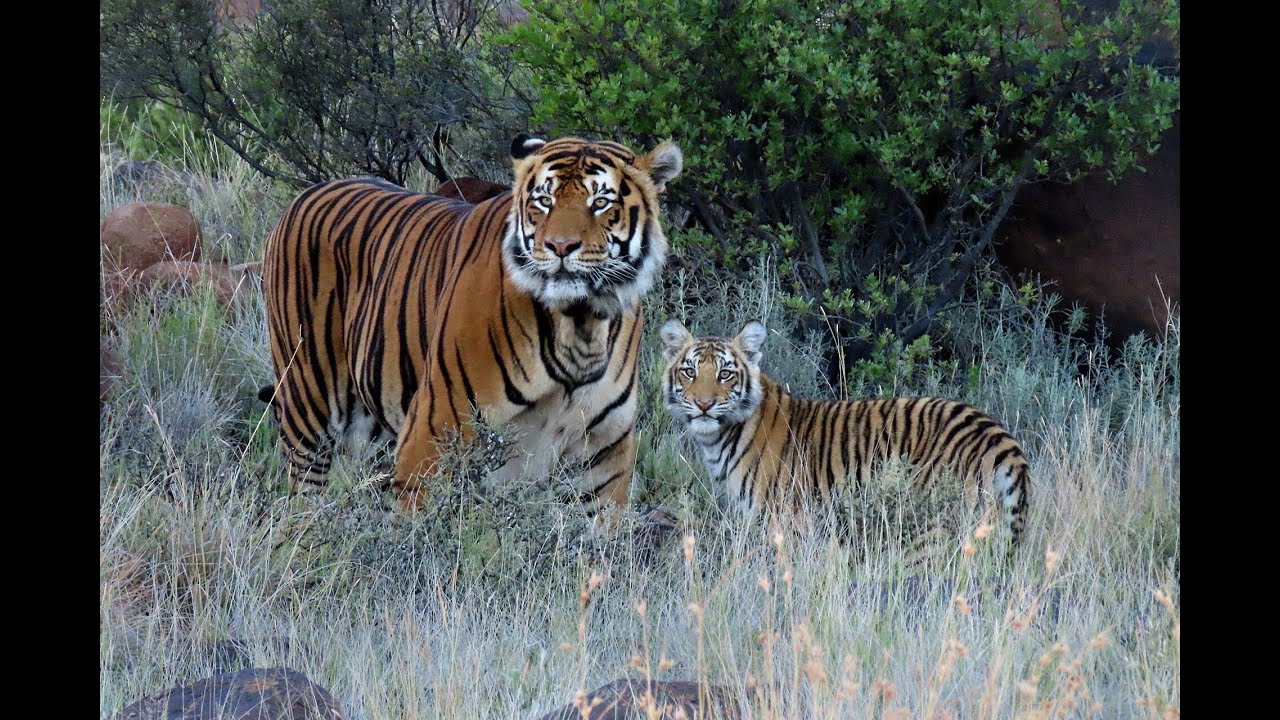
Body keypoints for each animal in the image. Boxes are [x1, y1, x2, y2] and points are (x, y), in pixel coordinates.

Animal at [259, 134, 683, 513]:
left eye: (600, 203)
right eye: (544, 201)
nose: (560, 247)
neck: (580, 324)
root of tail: (306, 195)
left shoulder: (604, 451)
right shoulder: (431, 433)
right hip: (307, 408)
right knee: (304, 500)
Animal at [659, 319, 1030, 544]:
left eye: (725, 374)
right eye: (690, 371)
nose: (704, 404)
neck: (718, 440)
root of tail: (995, 431)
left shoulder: (784, 522)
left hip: (936, 521)